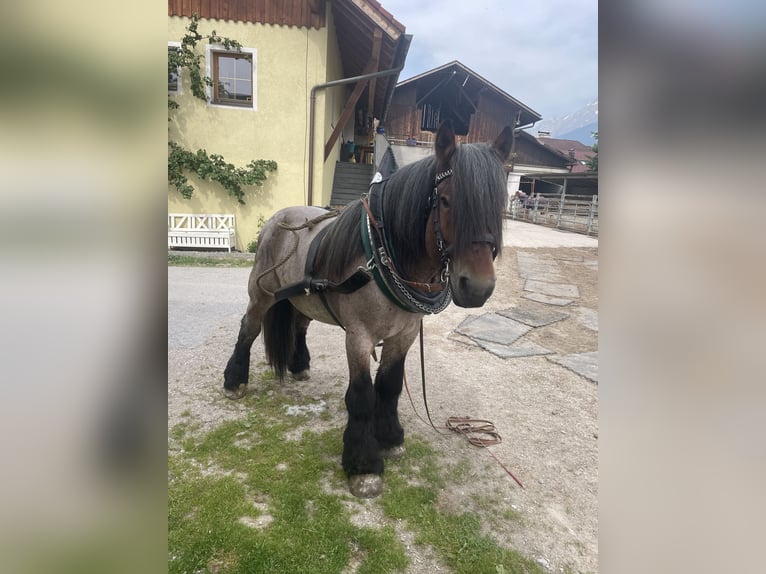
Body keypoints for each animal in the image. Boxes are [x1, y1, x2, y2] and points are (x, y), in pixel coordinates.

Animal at [225, 120, 512, 500]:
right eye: (446, 201)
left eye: (498, 206)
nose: (477, 287)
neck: (382, 255)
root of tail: (278, 219)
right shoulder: (359, 336)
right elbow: (361, 395)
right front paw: (364, 466)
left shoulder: (404, 335)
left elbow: (388, 386)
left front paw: (390, 438)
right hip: (262, 292)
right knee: (249, 328)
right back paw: (234, 380)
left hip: (304, 297)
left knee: (299, 326)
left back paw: (299, 365)